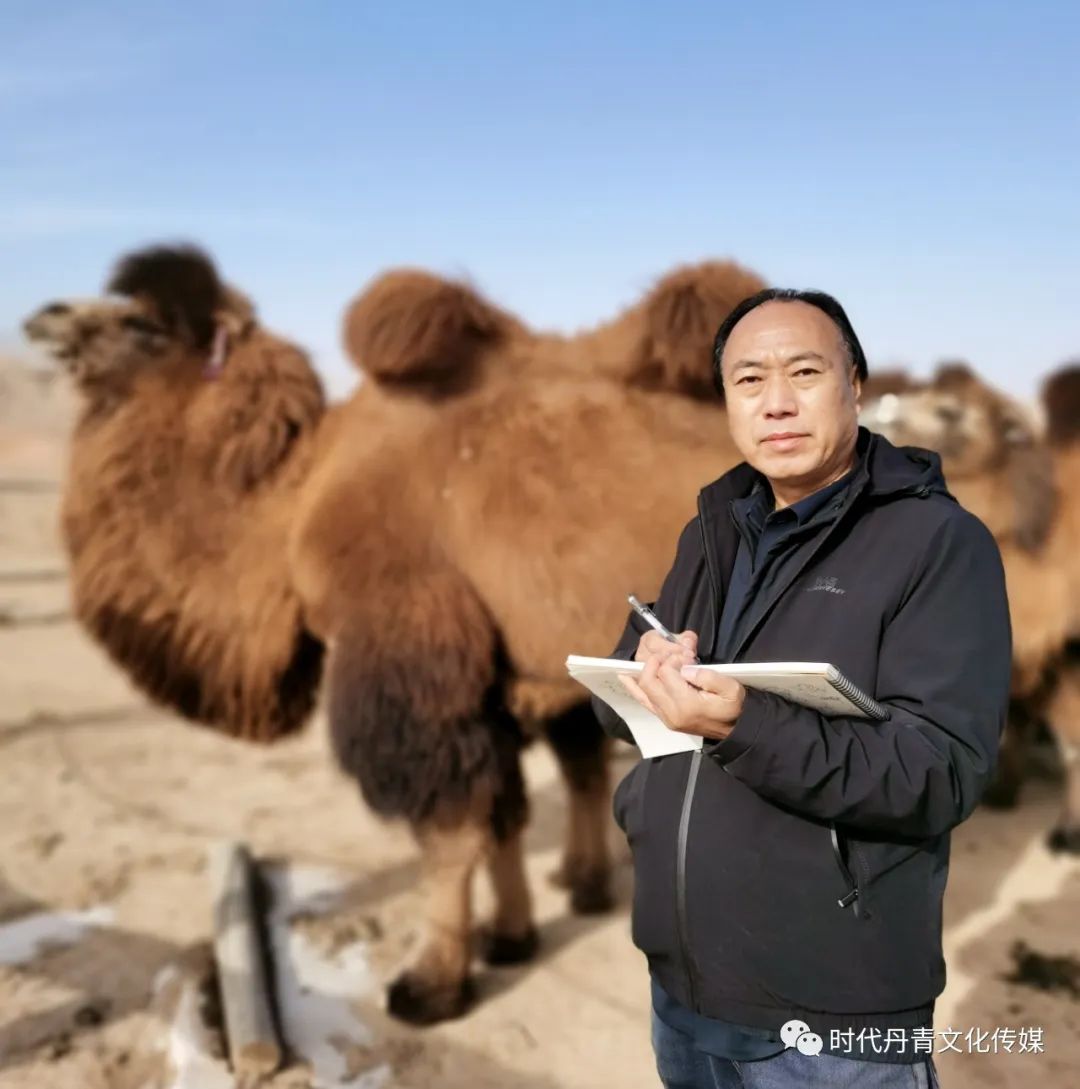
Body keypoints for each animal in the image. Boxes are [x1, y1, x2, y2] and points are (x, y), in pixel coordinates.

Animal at [25, 245, 766, 1019]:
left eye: (142, 323)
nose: (45, 317)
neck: (292, 502)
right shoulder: (487, 666)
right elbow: (504, 812)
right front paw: (509, 935)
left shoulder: (409, 647)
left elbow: (449, 827)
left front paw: (430, 984)